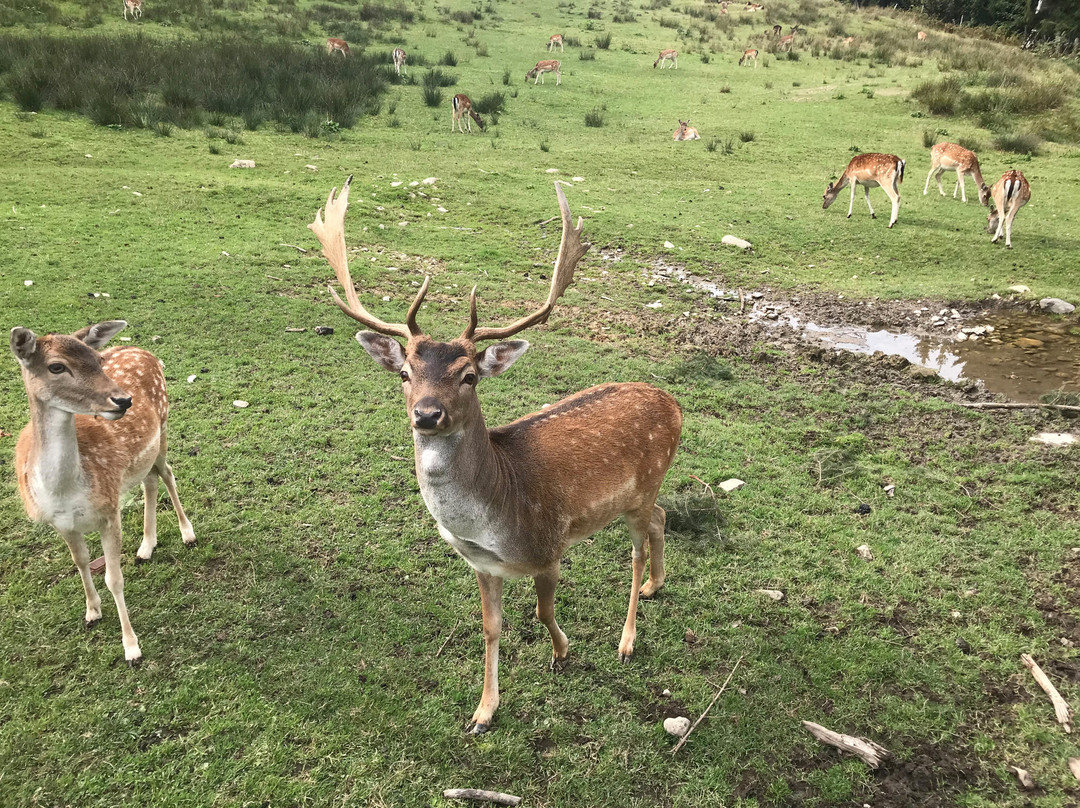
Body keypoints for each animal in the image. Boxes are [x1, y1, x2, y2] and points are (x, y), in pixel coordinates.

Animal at [10, 319, 195, 661]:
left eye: (98, 360)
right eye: (56, 366)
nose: (123, 400)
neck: (65, 492)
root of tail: (141, 349)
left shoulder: (110, 512)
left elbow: (114, 578)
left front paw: (132, 648)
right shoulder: (61, 523)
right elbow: (81, 562)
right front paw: (92, 612)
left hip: (163, 427)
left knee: (167, 474)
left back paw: (187, 533)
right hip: (141, 457)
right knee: (150, 481)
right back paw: (146, 546)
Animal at [311, 180, 682, 734]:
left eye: (469, 375)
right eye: (404, 374)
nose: (427, 414)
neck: (494, 518)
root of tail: (673, 402)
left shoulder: (549, 548)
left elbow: (542, 613)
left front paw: (562, 653)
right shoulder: (481, 565)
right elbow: (491, 627)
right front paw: (484, 711)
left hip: (644, 485)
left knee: (638, 546)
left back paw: (627, 638)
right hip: (641, 496)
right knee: (660, 518)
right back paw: (657, 586)